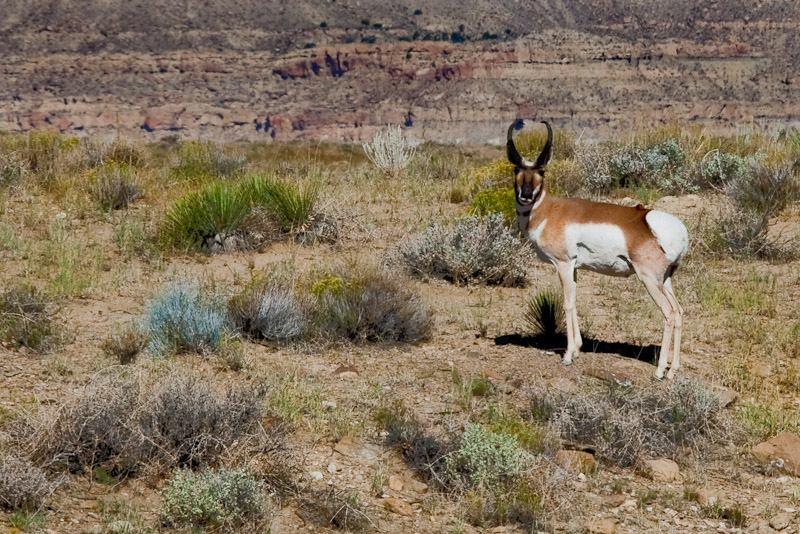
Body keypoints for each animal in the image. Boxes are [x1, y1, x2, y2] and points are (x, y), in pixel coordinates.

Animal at [510, 121, 692, 382]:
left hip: (649, 280)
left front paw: (567, 356)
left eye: (541, 171)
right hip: (666, 280)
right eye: (516, 169)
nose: (525, 196)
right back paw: (672, 370)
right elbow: (575, 301)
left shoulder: (563, 264)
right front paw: (577, 349)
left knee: (669, 313)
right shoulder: (574, 268)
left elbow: (567, 303)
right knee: (679, 311)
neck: (549, 210)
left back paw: (659, 372)